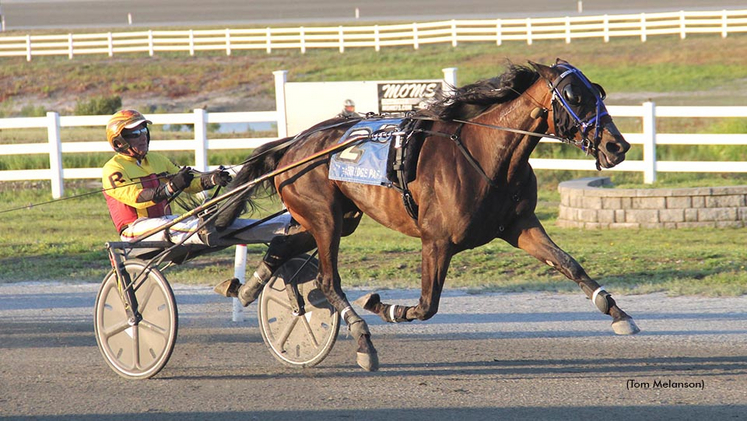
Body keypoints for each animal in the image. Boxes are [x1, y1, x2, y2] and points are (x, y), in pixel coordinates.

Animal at [213, 60, 640, 370]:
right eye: (574, 96)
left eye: (598, 91)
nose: (617, 146)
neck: (485, 153)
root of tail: (293, 144)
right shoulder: (437, 240)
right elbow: (426, 305)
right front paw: (384, 306)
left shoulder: (519, 226)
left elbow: (569, 264)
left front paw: (617, 312)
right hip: (324, 218)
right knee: (327, 280)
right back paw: (362, 340)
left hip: (334, 217)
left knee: (282, 245)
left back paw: (247, 289)